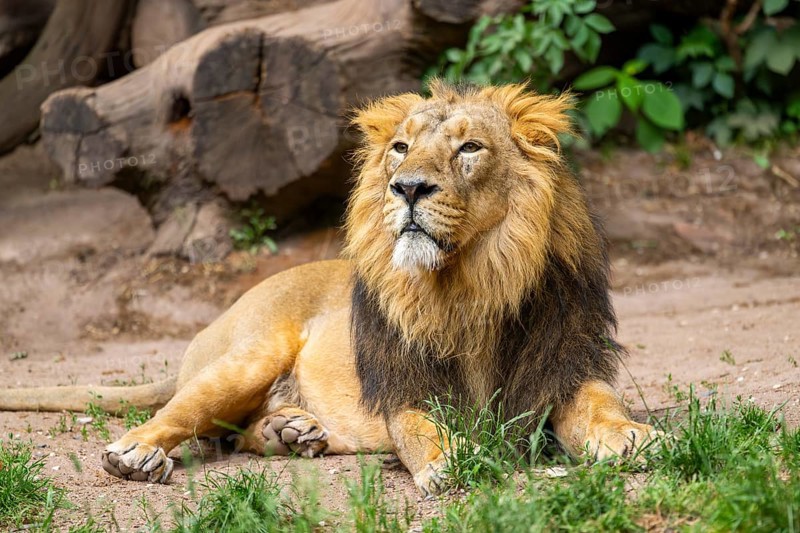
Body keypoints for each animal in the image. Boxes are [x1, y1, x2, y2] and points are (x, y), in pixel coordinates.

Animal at [0, 81, 655, 495]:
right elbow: (420, 428)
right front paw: (454, 457)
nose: (407, 187)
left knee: (233, 439)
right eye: (401, 148)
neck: (474, 284)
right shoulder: (403, 386)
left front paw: (631, 436)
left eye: (470, 147)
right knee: (177, 416)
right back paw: (137, 455)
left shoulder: (563, 364)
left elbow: (598, 404)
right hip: (249, 355)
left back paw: (289, 432)